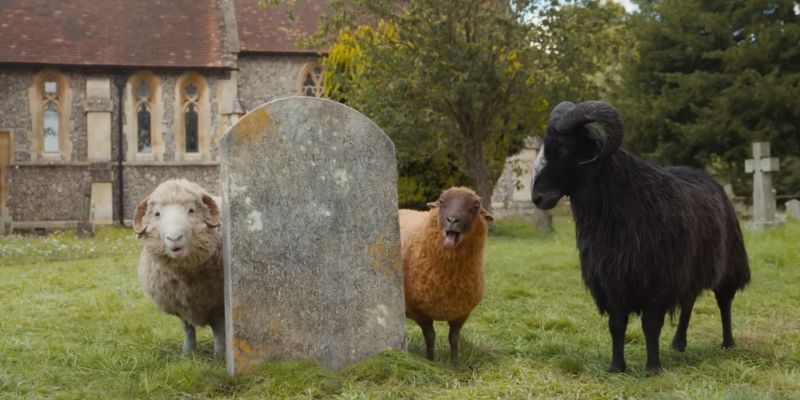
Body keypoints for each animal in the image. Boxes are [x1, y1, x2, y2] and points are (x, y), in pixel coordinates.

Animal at [133, 178, 225, 358]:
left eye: (191, 210)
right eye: (157, 214)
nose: (174, 238)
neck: (185, 275)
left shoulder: (217, 304)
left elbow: (219, 330)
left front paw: (220, 355)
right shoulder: (179, 302)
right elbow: (187, 328)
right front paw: (188, 353)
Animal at [399, 187, 493, 365]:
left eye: (475, 206)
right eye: (442, 202)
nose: (452, 220)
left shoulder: (461, 312)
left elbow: (454, 339)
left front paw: (455, 363)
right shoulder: (419, 311)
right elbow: (430, 337)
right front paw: (431, 360)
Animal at [531, 100, 751, 374]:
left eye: (562, 150)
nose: (536, 198)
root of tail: (708, 177)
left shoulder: (656, 281)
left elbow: (650, 326)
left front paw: (652, 368)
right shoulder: (611, 281)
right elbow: (616, 326)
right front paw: (616, 366)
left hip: (729, 264)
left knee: (724, 302)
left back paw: (727, 343)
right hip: (689, 269)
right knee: (688, 303)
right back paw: (679, 343)